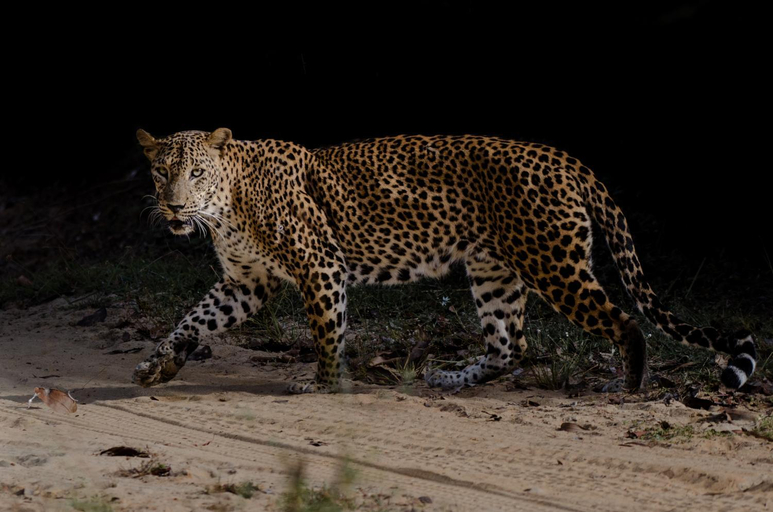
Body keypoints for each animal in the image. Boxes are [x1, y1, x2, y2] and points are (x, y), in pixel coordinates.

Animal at [132, 128, 757, 394]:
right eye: (162, 172)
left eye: (197, 173)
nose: (174, 205)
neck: (227, 206)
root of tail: (565, 158)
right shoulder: (246, 282)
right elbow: (192, 320)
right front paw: (160, 364)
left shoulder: (320, 266)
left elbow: (327, 332)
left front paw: (325, 384)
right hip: (494, 272)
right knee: (510, 347)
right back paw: (452, 378)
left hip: (554, 265)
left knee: (625, 323)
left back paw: (626, 387)